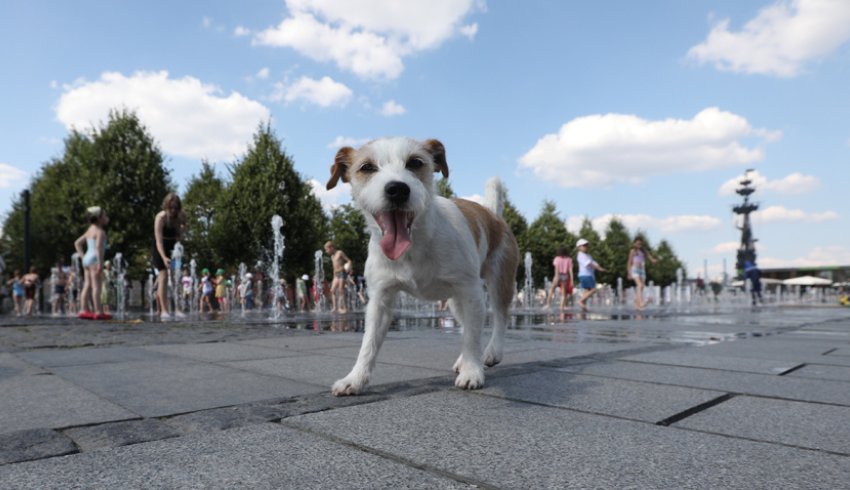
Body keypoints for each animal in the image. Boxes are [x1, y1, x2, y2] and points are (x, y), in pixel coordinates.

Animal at [324, 136, 516, 396]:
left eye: (415, 162)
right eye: (367, 167)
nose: (397, 189)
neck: (415, 244)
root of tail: (491, 213)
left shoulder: (470, 289)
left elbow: (473, 337)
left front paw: (472, 371)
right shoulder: (380, 299)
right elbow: (369, 343)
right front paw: (355, 379)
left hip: (497, 282)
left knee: (498, 317)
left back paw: (492, 352)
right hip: (457, 301)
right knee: (470, 324)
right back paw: (464, 359)